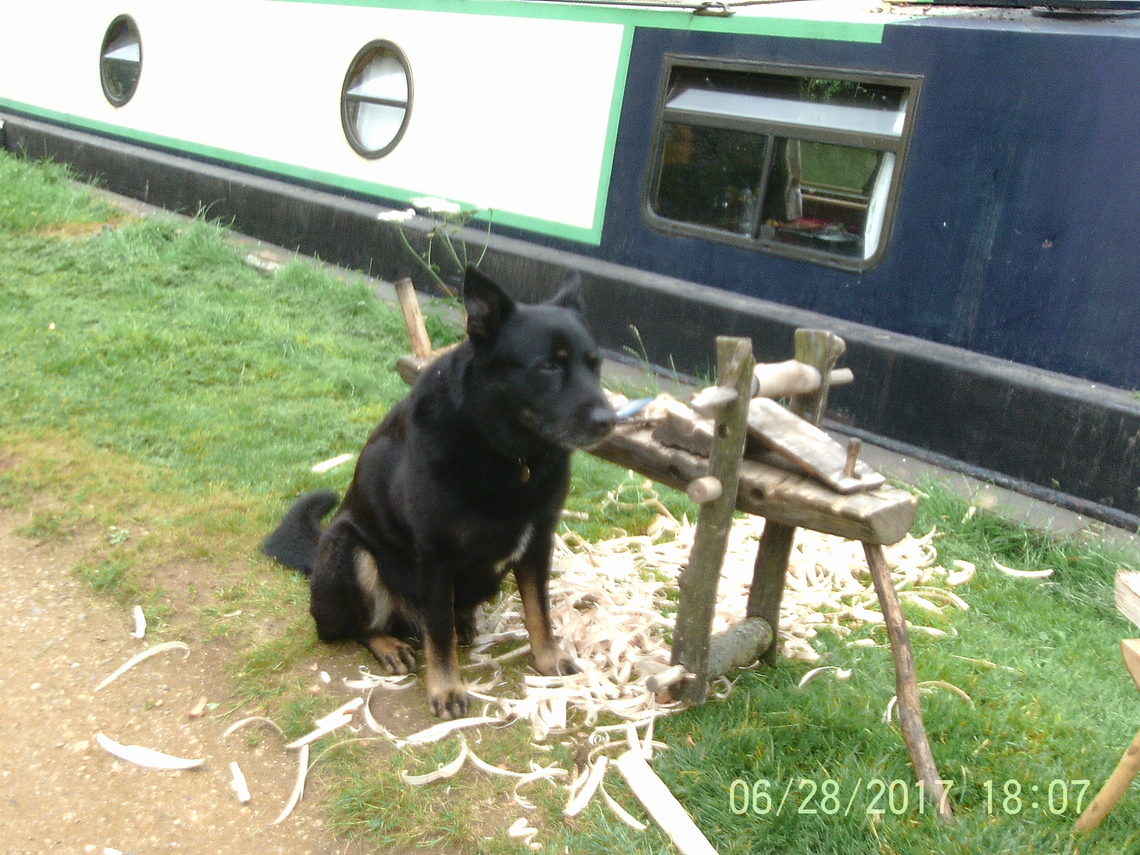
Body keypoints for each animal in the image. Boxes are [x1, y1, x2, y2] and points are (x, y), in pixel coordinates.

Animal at [263, 265, 615, 720]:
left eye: (595, 364)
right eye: (547, 367)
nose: (610, 421)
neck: (504, 453)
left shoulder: (538, 540)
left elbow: (539, 611)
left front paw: (548, 659)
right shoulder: (435, 557)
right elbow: (439, 633)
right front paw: (446, 689)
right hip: (349, 548)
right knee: (348, 627)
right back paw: (388, 644)